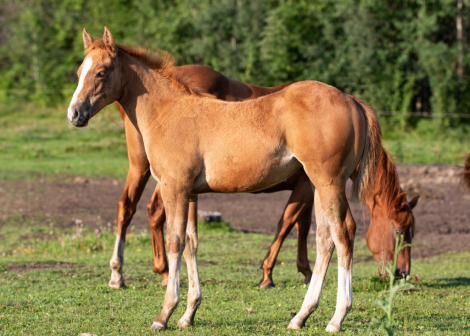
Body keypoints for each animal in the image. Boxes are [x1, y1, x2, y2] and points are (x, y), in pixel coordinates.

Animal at [70, 27, 392, 332]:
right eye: (78, 72)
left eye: (101, 72)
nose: (74, 114)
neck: (168, 112)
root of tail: (352, 100)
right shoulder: (191, 192)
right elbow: (191, 242)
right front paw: (189, 314)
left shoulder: (174, 188)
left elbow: (175, 241)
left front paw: (164, 314)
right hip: (317, 185)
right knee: (325, 239)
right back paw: (301, 316)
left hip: (328, 182)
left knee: (343, 233)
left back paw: (337, 318)